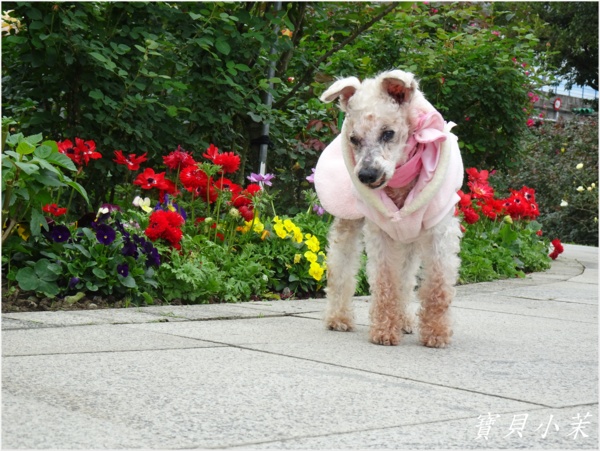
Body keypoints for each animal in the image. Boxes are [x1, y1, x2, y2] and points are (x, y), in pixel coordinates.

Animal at [313, 70, 464, 347]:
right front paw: (384, 331)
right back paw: (338, 317)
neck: (401, 179)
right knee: (341, 265)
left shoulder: (439, 230)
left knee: (406, 278)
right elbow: (385, 281)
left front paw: (436, 333)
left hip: (411, 239)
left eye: (388, 133)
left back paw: (404, 320)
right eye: (354, 139)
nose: (366, 175)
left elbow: (437, 284)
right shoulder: (379, 232)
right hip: (349, 221)